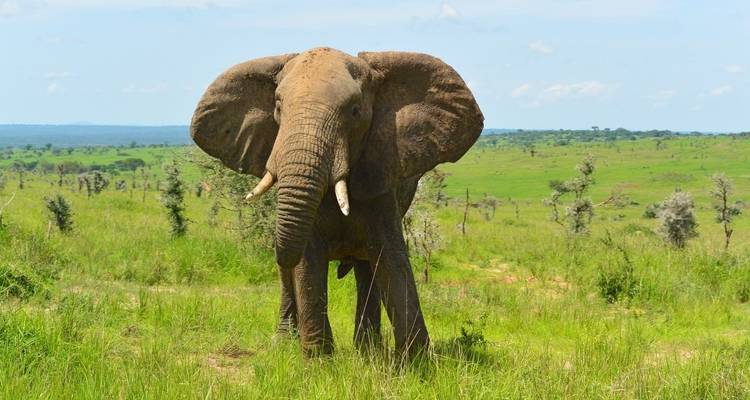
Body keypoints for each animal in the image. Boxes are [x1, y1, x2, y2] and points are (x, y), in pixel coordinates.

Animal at [190, 47, 483, 357]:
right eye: (278, 107)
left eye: (355, 111)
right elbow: (307, 261)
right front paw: (319, 360)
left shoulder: (381, 176)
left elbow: (392, 257)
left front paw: (418, 361)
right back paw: (287, 342)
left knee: (366, 268)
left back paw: (367, 349)